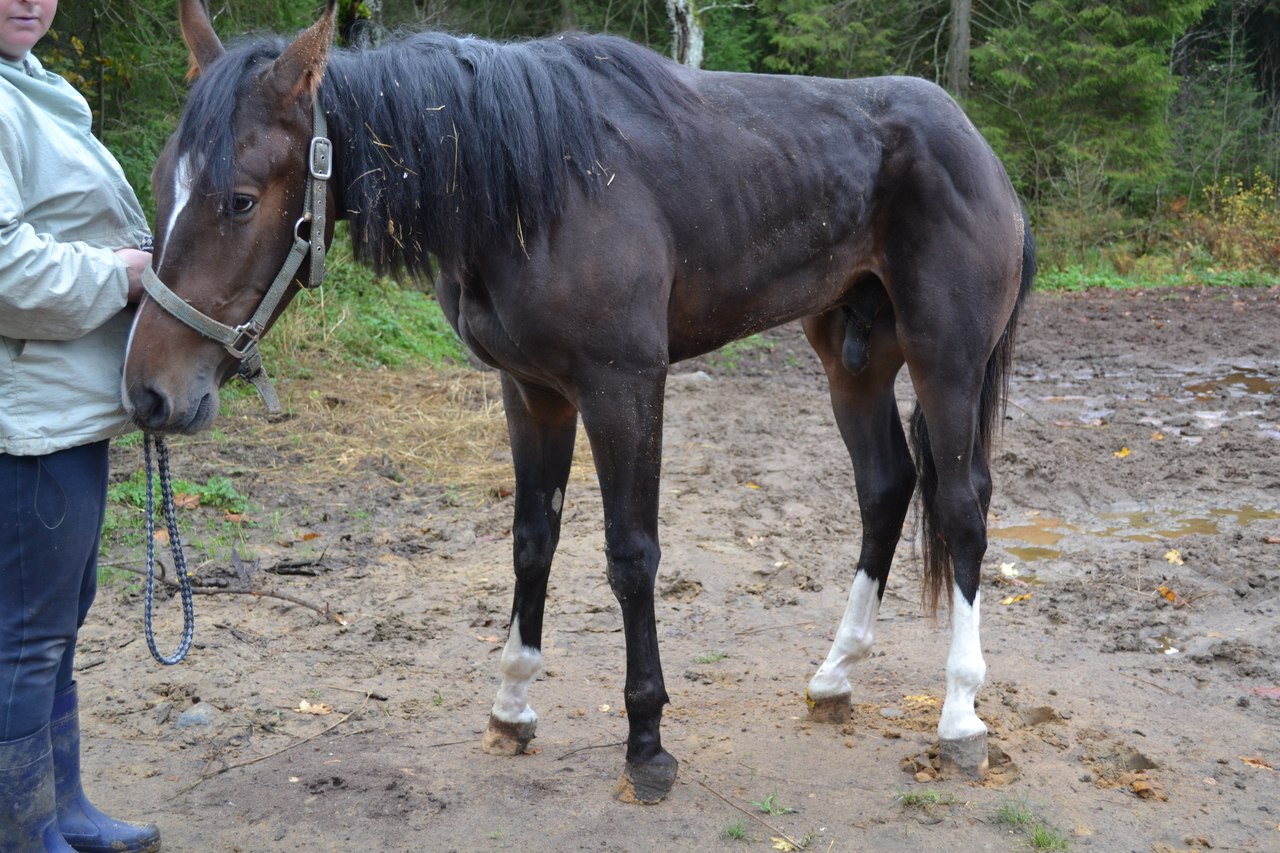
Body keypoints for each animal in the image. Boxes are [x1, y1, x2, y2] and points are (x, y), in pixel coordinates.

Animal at [123, 0, 1035, 803]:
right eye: (164, 182)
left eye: (240, 199)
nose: (149, 393)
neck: (529, 188)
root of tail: (977, 146)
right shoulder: (532, 392)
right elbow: (533, 540)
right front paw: (512, 704)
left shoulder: (623, 385)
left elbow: (631, 556)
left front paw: (647, 744)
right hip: (855, 358)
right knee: (886, 487)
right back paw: (836, 675)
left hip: (946, 360)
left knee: (961, 507)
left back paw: (960, 716)